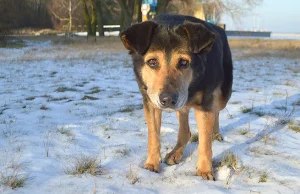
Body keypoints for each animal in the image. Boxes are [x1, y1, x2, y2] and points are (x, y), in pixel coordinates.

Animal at [120, 14, 233, 181]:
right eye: (152, 62)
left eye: (184, 62)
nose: (167, 100)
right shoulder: (151, 102)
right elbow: (153, 136)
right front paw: (152, 164)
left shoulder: (205, 104)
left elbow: (205, 142)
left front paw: (205, 170)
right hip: (181, 104)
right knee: (185, 129)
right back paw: (175, 153)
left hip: (223, 94)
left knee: (217, 111)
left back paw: (216, 134)